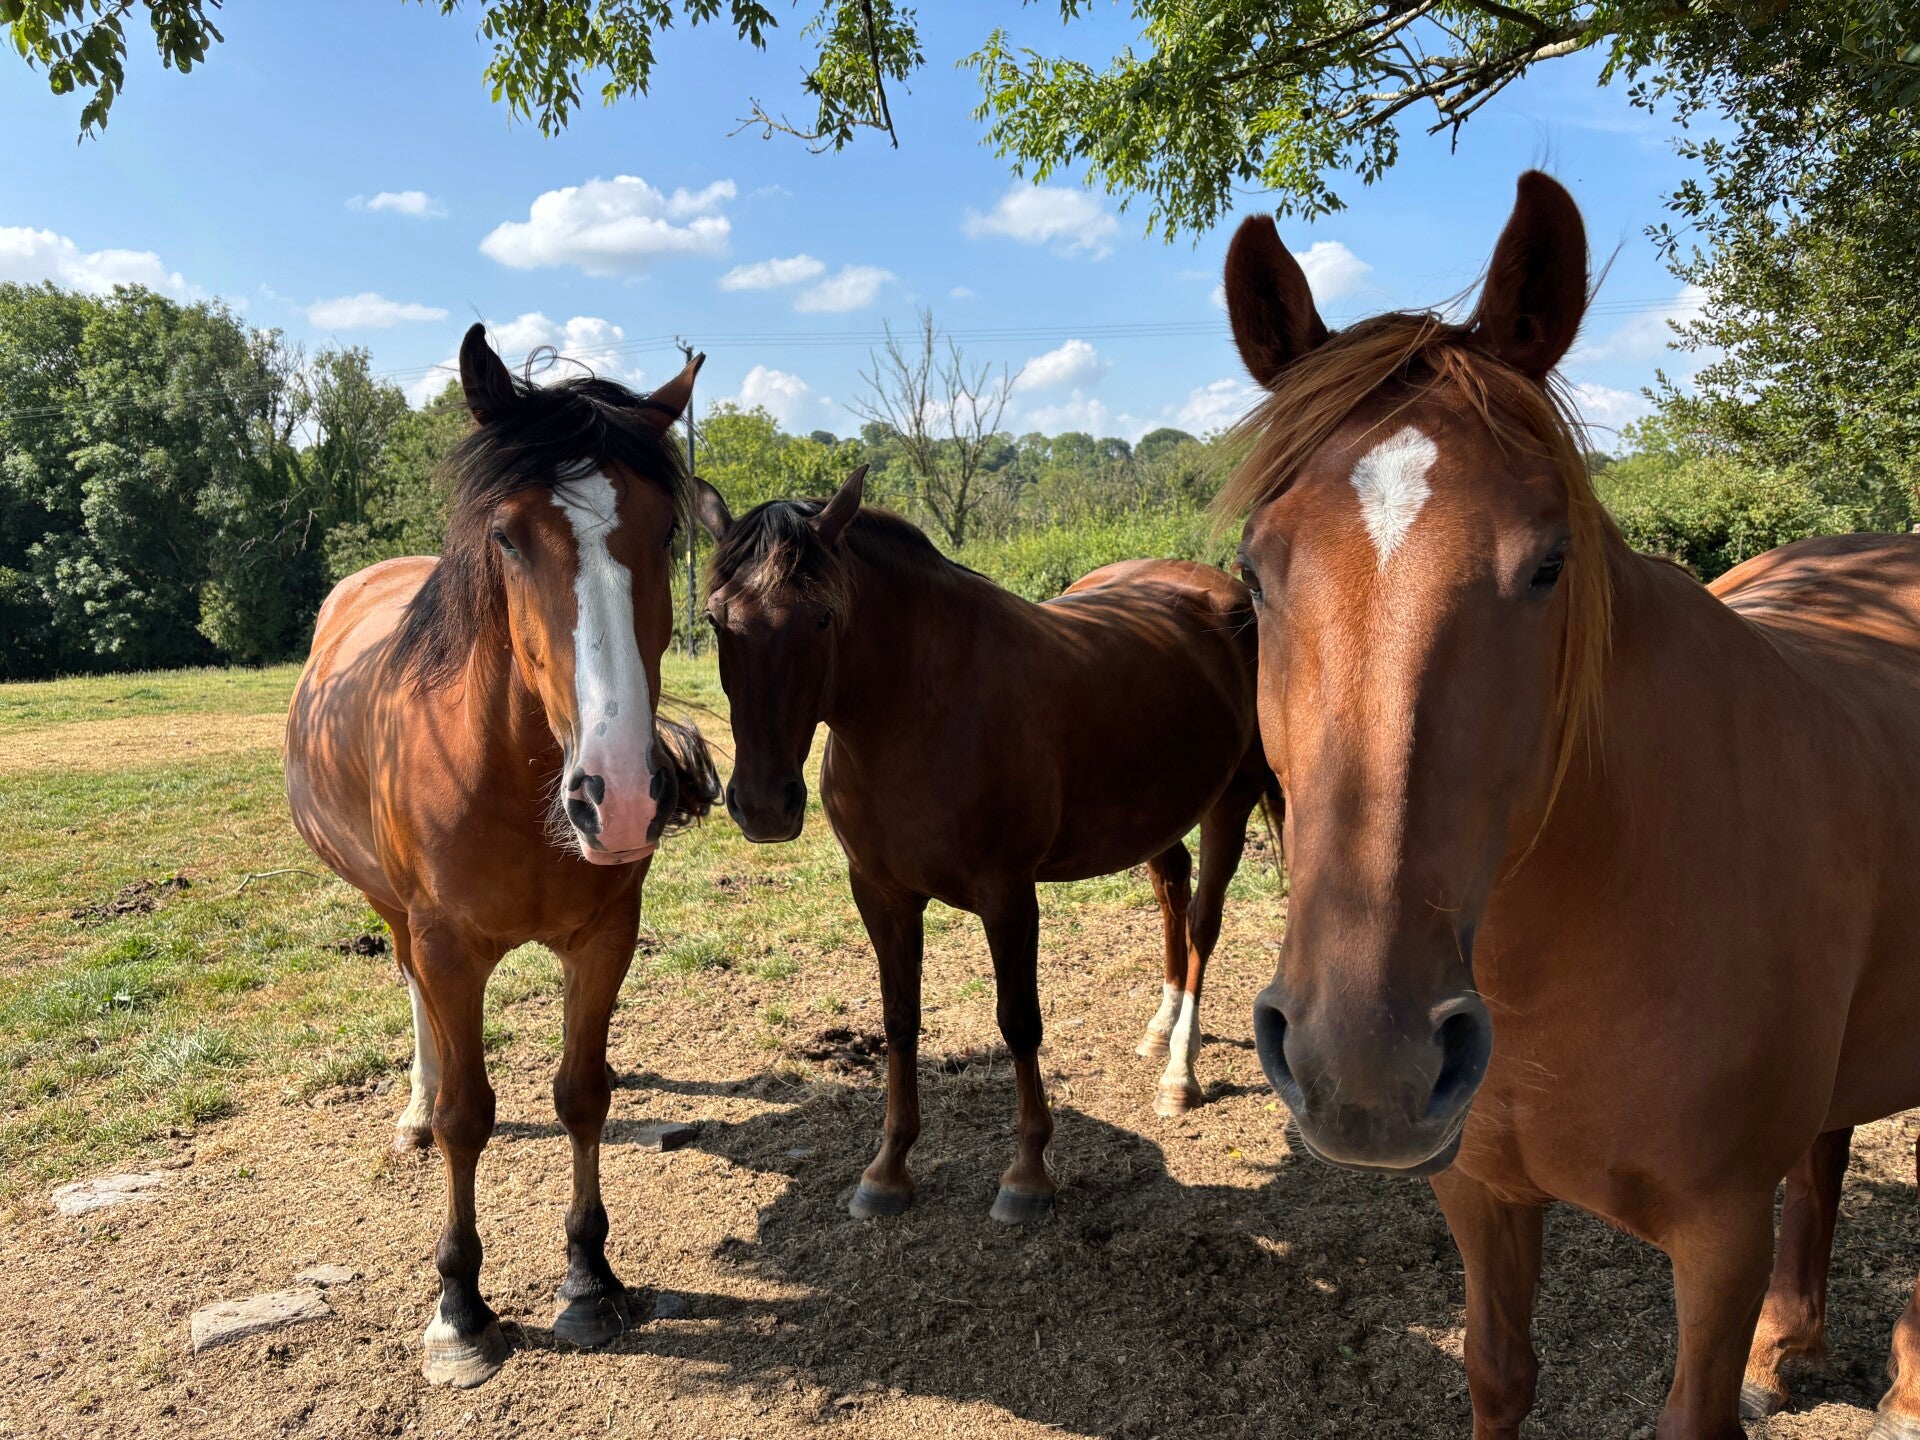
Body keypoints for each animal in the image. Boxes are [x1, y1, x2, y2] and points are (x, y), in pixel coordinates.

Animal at [284, 324, 719, 1388]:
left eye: (666, 533)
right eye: (508, 537)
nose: (623, 794)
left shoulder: (605, 934)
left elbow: (582, 1093)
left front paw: (589, 1280)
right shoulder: (448, 946)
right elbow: (469, 1118)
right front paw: (459, 1307)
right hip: (395, 914)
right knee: (414, 1004)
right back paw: (413, 1103)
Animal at [692, 466, 1280, 1222]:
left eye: (822, 617)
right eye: (716, 620)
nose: (765, 804)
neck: (921, 709)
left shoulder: (1008, 897)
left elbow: (1019, 1021)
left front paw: (1027, 1174)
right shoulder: (880, 894)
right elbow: (900, 1019)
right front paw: (887, 1169)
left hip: (1230, 799)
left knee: (1204, 920)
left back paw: (1181, 1071)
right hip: (1161, 810)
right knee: (1172, 893)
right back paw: (1159, 1028)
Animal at [1219, 171, 1920, 1440]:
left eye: (1548, 564)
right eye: (1255, 572)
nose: (1365, 1063)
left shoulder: (1719, 1239)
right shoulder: (1479, 1191)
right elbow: (1500, 1372)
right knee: (1828, 1153)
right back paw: (1790, 1347)